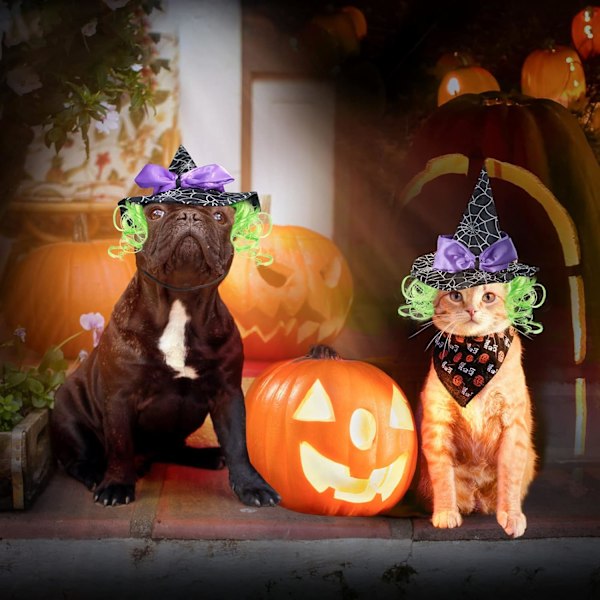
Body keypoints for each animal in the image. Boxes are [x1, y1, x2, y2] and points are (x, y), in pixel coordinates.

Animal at [50, 203, 280, 506]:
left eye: (220, 216)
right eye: (155, 213)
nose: (190, 215)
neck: (180, 305)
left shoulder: (227, 394)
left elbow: (238, 445)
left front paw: (252, 485)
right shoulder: (120, 398)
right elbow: (120, 444)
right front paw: (116, 485)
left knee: (173, 449)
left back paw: (208, 456)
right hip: (69, 416)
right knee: (78, 459)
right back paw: (96, 473)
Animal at [414, 282, 536, 540]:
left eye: (488, 297)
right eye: (455, 295)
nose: (471, 310)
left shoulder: (513, 426)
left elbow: (510, 476)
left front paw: (511, 515)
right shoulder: (437, 425)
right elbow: (443, 477)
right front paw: (446, 512)